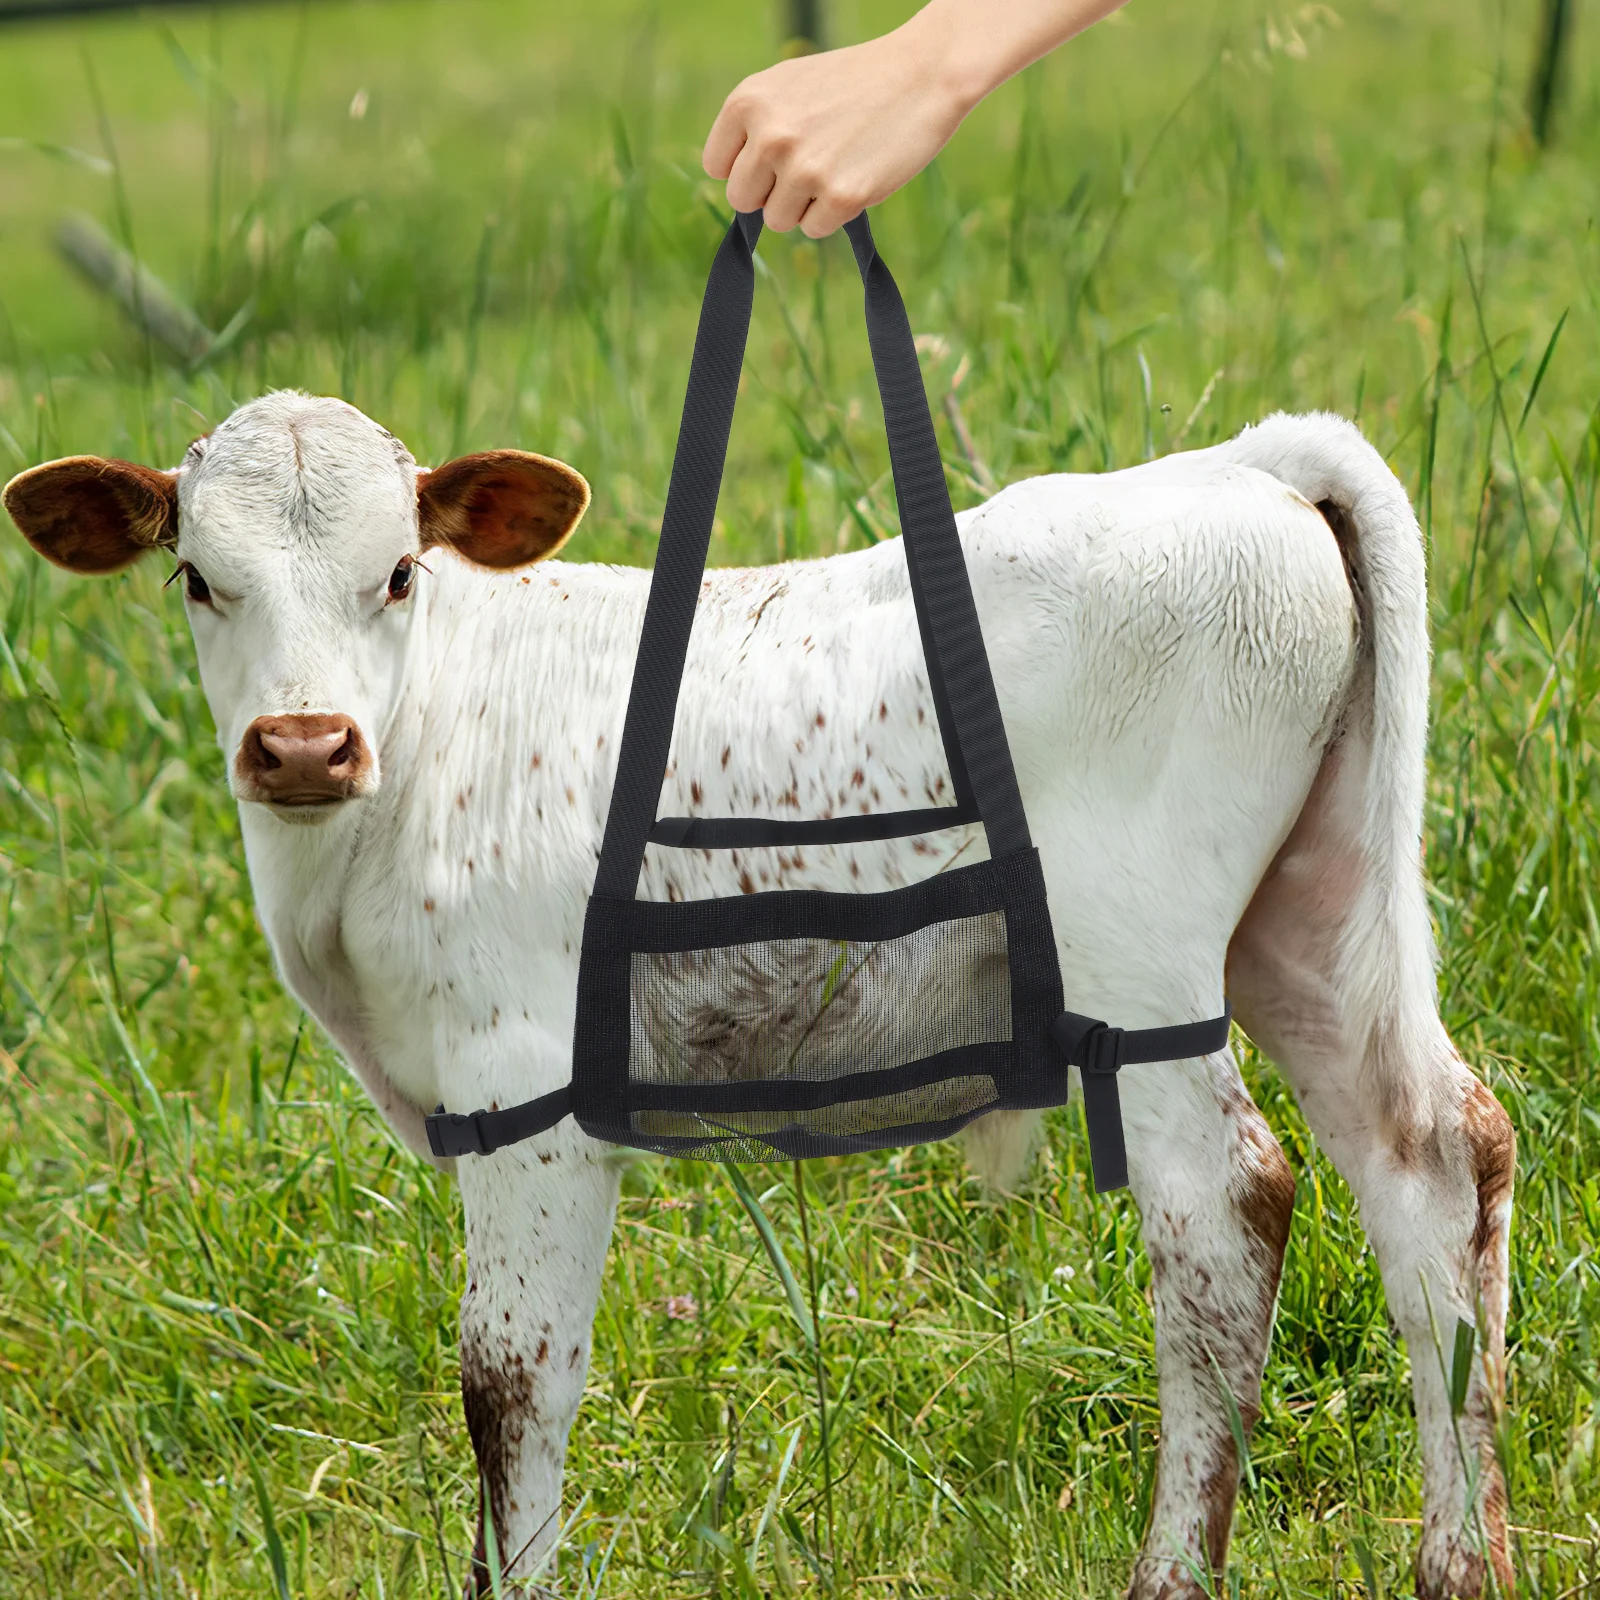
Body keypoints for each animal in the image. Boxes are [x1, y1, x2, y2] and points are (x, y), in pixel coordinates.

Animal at [3, 391, 1515, 1599]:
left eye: (398, 573)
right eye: (197, 578)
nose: (304, 744)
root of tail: (1237, 467)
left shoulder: (525, 1084)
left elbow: (509, 1375)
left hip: (1138, 963)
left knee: (1223, 1217)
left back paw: (1174, 1574)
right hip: (1307, 919)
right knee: (1433, 1161)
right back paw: (1464, 1561)